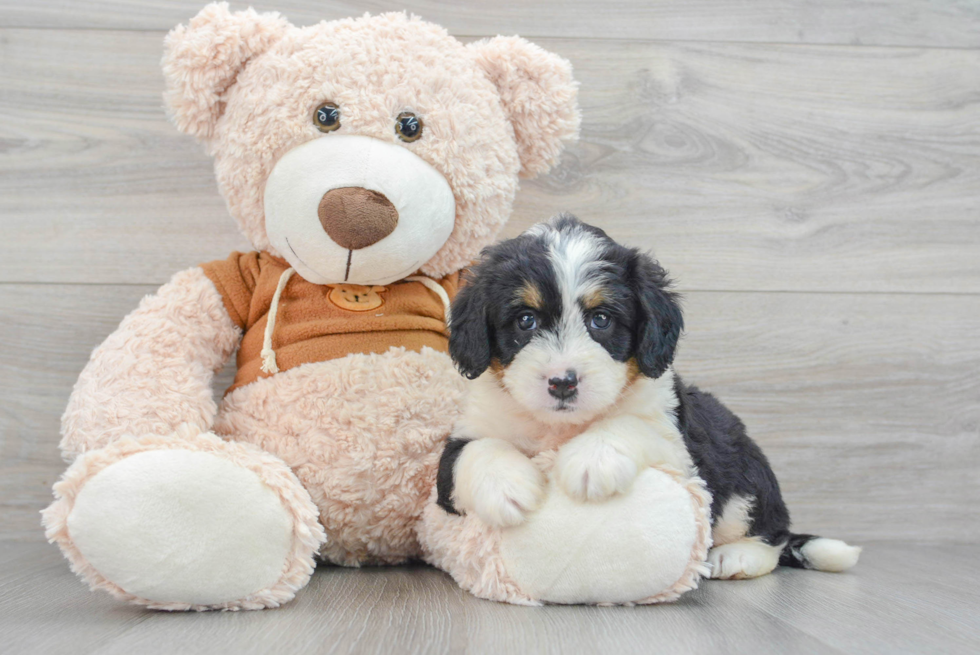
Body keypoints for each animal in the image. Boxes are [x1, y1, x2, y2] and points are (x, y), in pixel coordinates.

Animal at [436, 214, 856, 580]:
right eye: (526, 320)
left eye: (601, 319)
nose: (562, 383)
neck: (561, 427)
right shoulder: (459, 450)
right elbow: (475, 451)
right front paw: (506, 486)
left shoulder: (680, 449)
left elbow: (632, 424)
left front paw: (592, 460)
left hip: (745, 479)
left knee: (772, 531)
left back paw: (738, 556)